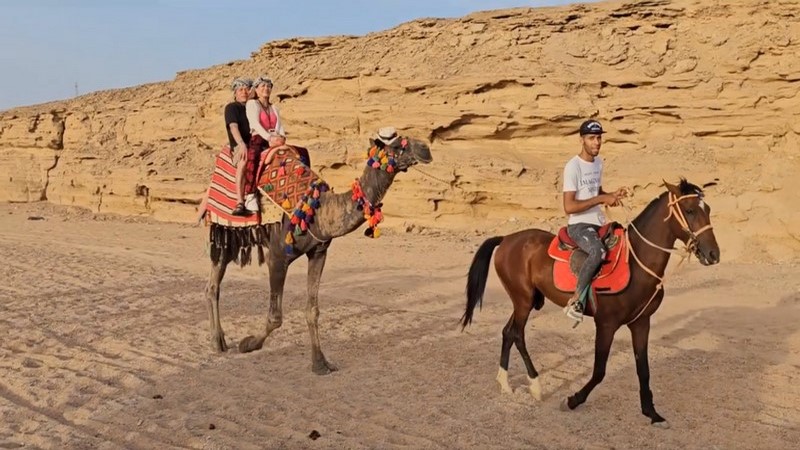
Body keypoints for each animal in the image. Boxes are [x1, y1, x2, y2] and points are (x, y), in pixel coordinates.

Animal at [204, 130, 433, 374]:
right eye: (397, 145)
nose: (426, 149)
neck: (318, 211)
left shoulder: (318, 253)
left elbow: (312, 310)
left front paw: (320, 362)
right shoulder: (277, 255)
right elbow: (276, 317)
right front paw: (248, 344)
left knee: (214, 284)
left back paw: (219, 339)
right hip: (222, 230)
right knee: (213, 284)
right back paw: (216, 341)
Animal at [460, 178, 720, 428]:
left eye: (707, 209)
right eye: (689, 210)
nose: (713, 254)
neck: (636, 263)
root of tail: (506, 239)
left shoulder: (641, 323)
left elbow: (643, 370)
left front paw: (652, 413)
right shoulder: (606, 325)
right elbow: (599, 371)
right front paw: (573, 400)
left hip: (524, 301)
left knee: (507, 332)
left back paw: (504, 382)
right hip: (523, 301)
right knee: (517, 334)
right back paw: (535, 385)